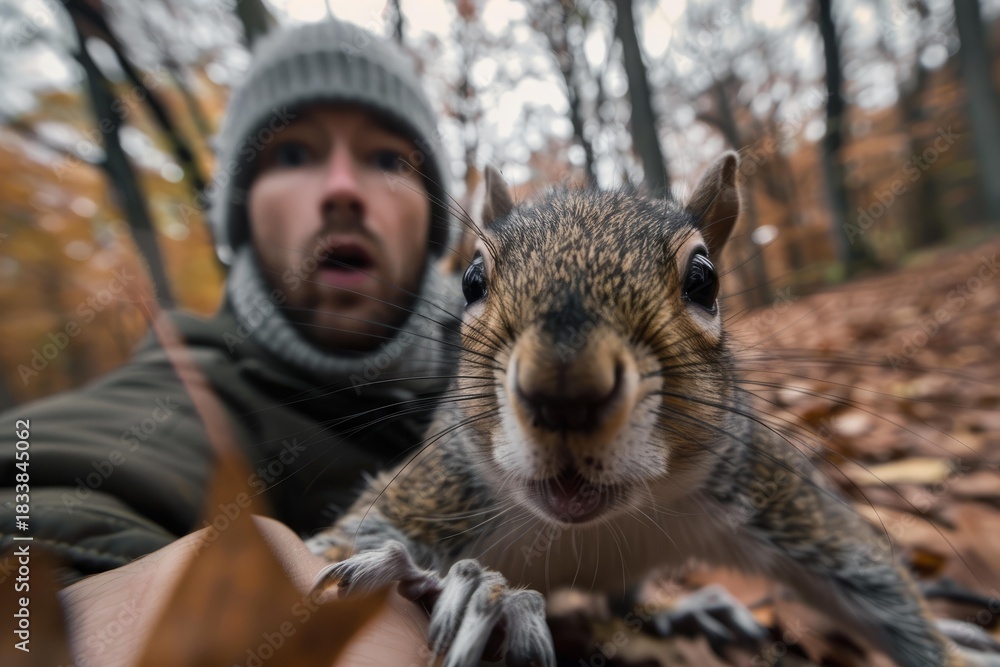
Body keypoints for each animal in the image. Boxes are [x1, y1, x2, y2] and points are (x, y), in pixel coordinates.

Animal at [306, 152, 969, 667]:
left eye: (704, 280)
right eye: (471, 279)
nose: (564, 389)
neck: (599, 525)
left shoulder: (761, 486)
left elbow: (874, 579)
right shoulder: (442, 487)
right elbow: (343, 543)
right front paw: (470, 596)